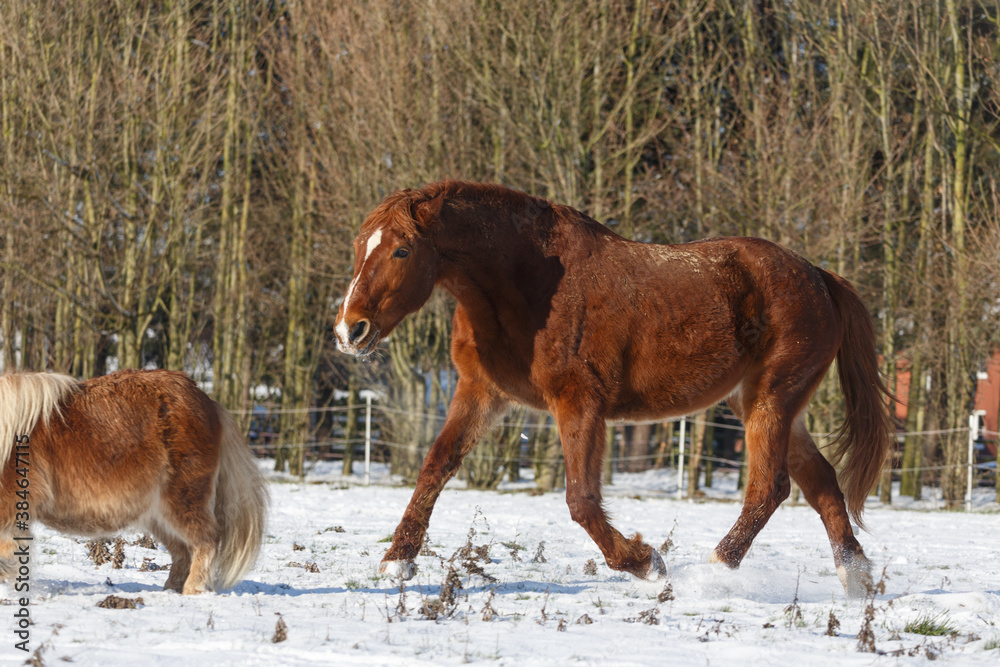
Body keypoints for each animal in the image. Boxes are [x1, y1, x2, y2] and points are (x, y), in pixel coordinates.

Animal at [0, 369, 268, 595]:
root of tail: (207, 401)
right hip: (160, 514)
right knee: (182, 551)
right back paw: (170, 589)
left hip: (184, 500)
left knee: (207, 540)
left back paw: (193, 589)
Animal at [334, 180, 892, 598]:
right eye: (360, 247)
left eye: (402, 249)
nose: (349, 331)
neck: (529, 283)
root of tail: (818, 276)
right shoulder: (481, 395)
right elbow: (435, 466)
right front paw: (397, 560)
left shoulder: (579, 403)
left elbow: (581, 499)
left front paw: (645, 562)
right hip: (767, 404)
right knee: (822, 485)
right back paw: (857, 583)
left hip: (771, 401)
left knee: (770, 488)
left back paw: (712, 571)